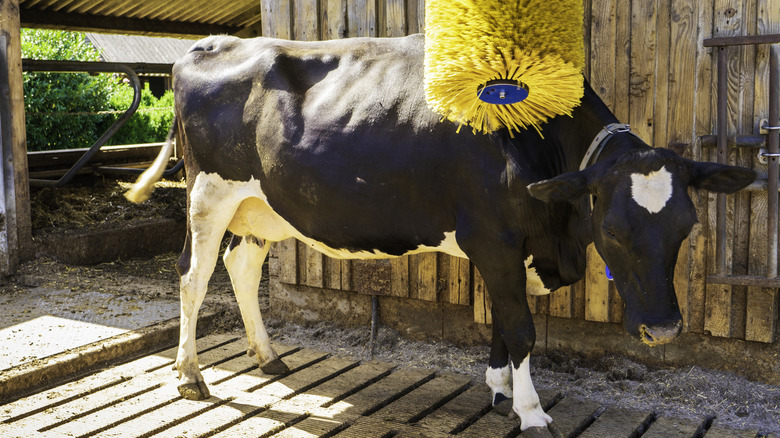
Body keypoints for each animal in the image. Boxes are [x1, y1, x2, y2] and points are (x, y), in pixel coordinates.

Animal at [126, 33, 755, 431]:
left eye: (687, 225)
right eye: (615, 227)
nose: (665, 329)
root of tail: (213, 44)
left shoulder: (514, 247)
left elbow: (504, 321)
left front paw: (499, 387)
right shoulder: (494, 238)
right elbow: (522, 328)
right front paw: (531, 411)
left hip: (261, 204)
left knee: (242, 266)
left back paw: (267, 356)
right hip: (208, 194)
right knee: (193, 276)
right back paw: (190, 376)